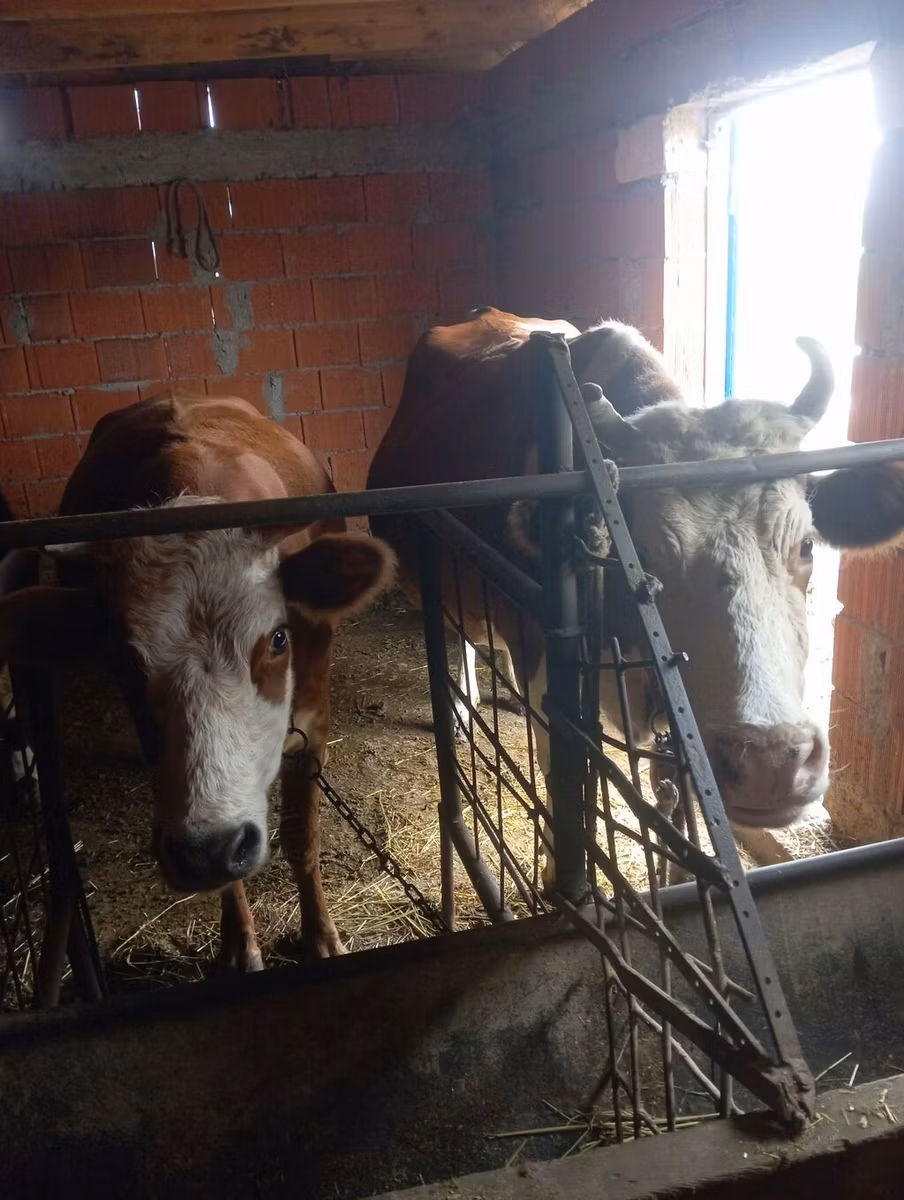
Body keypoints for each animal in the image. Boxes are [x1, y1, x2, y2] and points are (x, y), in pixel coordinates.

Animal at [0, 393, 396, 970]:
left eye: (279, 638)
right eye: (122, 658)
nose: (210, 849)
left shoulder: (314, 723)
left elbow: (302, 839)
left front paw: (321, 937)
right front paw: (238, 944)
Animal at [367, 307, 904, 876]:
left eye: (806, 545)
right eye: (641, 556)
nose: (770, 763)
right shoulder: (550, 688)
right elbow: (563, 806)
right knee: (463, 632)